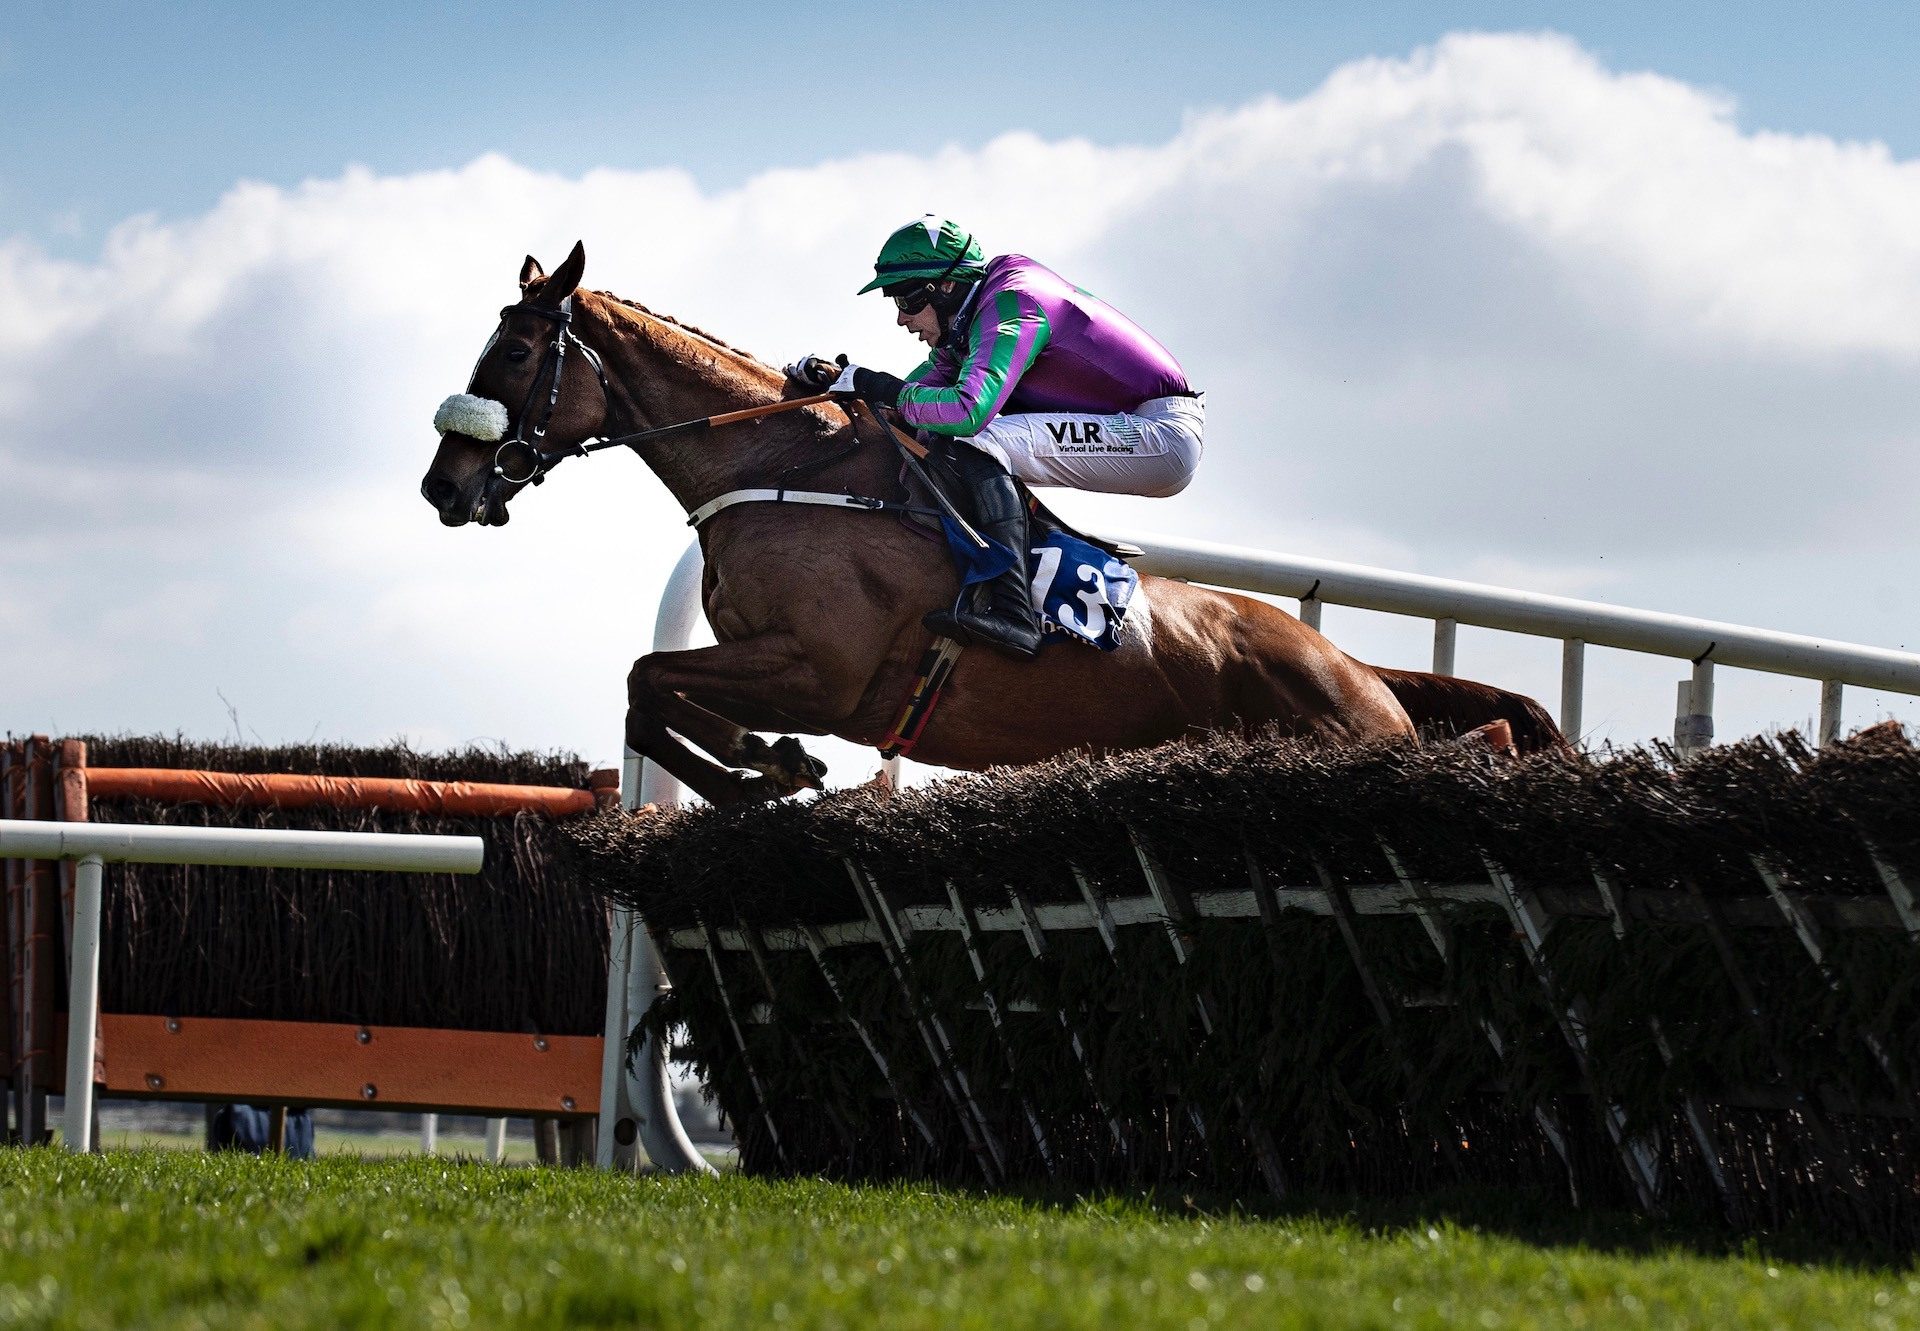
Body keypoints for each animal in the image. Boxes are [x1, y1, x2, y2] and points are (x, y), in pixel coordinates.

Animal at [420, 243, 1559, 802]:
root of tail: (1359, 668)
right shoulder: (766, 658)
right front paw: (768, 763)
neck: (783, 465)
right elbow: (648, 691)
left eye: (514, 352)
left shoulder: (823, 669)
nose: (444, 486)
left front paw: (764, 769)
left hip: (1338, 728)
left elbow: (647, 679)